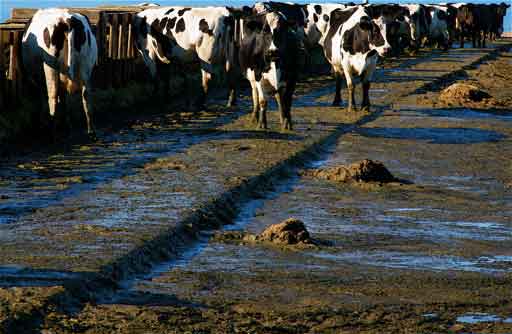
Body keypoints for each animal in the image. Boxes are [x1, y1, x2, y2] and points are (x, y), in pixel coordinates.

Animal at [22, 8, 98, 138]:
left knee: (52, 96)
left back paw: (53, 133)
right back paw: (91, 131)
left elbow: (38, 101)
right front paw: (66, 125)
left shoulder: (32, 77)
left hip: (50, 67)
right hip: (86, 65)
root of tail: (66, 18)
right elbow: (63, 99)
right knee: (86, 95)